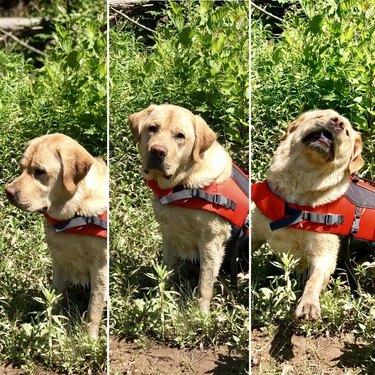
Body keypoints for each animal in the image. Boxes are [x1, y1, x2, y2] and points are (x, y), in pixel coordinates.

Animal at [5, 134, 108, 340]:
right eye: (22, 167)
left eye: (40, 171)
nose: (8, 192)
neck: (73, 213)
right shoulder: (59, 261)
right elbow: (55, 297)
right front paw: (51, 327)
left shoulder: (100, 266)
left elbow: (94, 307)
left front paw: (90, 339)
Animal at [129, 103, 250, 314]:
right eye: (152, 128)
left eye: (180, 136)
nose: (157, 151)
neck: (183, 187)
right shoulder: (168, 236)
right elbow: (166, 272)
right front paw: (161, 301)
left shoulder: (211, 243)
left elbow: (205, 284)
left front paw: (201, 314)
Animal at [253, 109, 364, 320]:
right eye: (320, 116)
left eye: (346, 132)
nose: (337, 122)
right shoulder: (255, 234)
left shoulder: (324, 255)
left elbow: (314, 281)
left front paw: (309, 304)